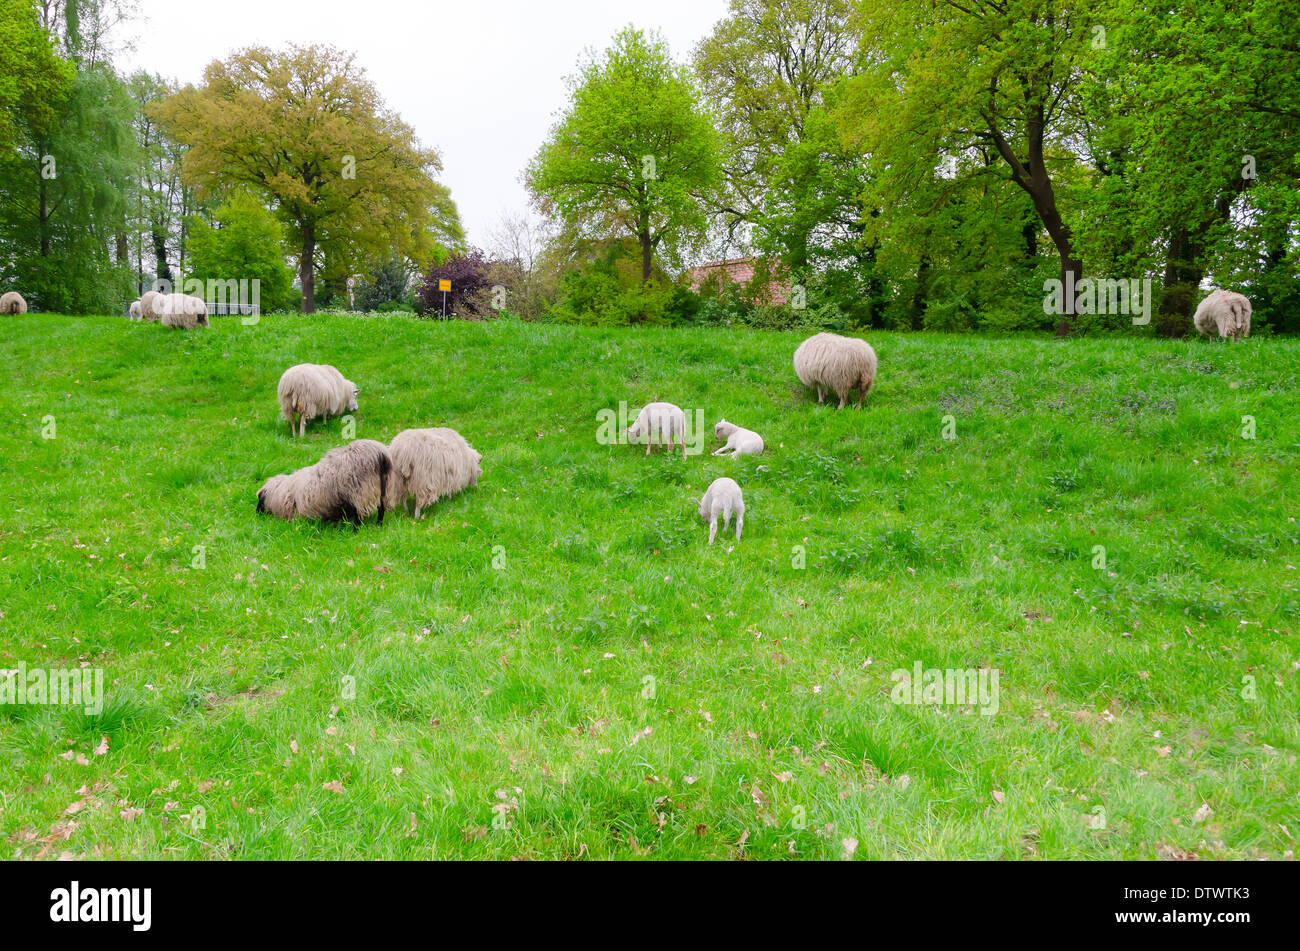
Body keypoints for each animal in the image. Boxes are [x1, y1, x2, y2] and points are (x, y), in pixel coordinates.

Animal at [255, 438, 391, 530]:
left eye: (259, 500)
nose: (256, 514)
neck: (281, 493)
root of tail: (380, 453)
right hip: (383, 489)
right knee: (381, 509)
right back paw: (379, 525)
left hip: (362, 492)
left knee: (360, 515)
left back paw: (354, 530)